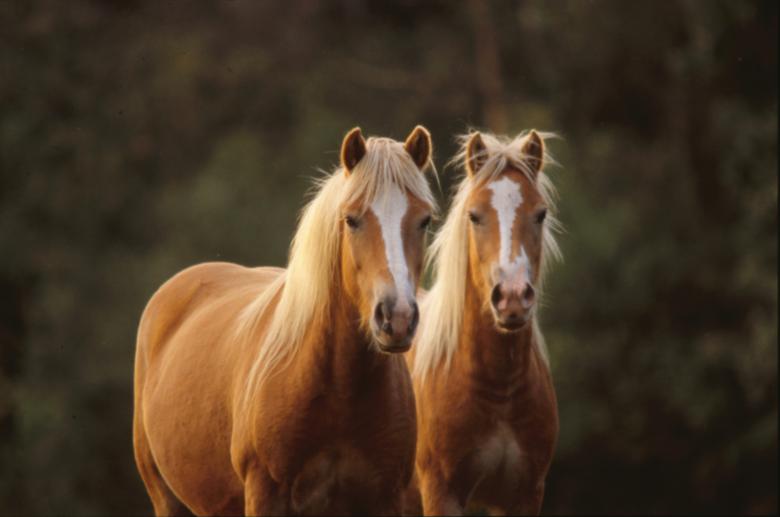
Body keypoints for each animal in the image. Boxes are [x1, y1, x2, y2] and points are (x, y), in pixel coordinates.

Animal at [133, 126, 438, 516]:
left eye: (424, 220)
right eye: (351, 219)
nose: (396, 318)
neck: (338, 388)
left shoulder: (387, 499)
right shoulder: (266, 495)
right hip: (166, 498)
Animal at [407, 130, 562, 515]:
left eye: (540, 214)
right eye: (474, 216)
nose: (512, 297)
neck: (498, 388)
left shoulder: (524, 495)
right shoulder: (442, 492)